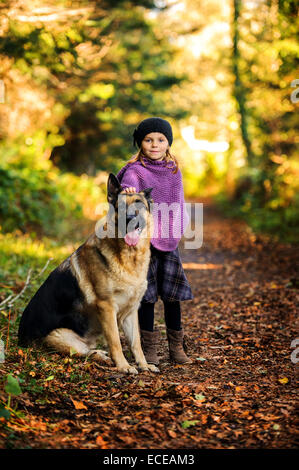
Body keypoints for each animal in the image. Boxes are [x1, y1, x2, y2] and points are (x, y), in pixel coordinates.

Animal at [17, 173, 159, 374]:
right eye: (121, 206)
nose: (130, 218)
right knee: (84, 353)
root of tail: (20, 340)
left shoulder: (131, 312)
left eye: (139, 204)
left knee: (89, 350)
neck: (128, 257)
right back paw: (104, 358)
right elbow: (115, 341)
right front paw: (124, 366)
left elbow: (136, 343)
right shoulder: (107, 307)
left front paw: (144, 365)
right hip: (59, 335)